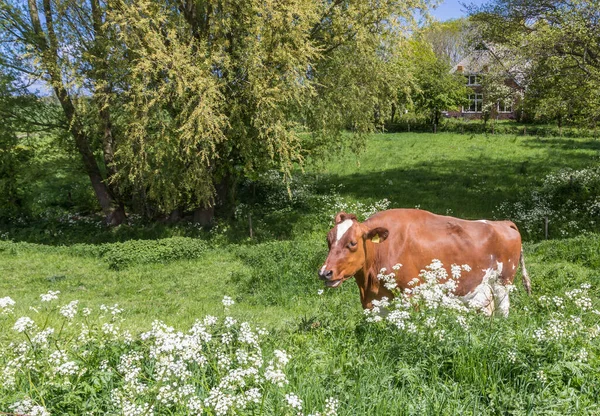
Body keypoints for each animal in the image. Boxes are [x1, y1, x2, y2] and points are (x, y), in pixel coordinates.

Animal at [318, 210, 528, 316]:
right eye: (328, 240)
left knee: (503, 312)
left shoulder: (412, 295)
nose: (325, 272)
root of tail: (502, 223)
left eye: (352, 243)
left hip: (502, 283)